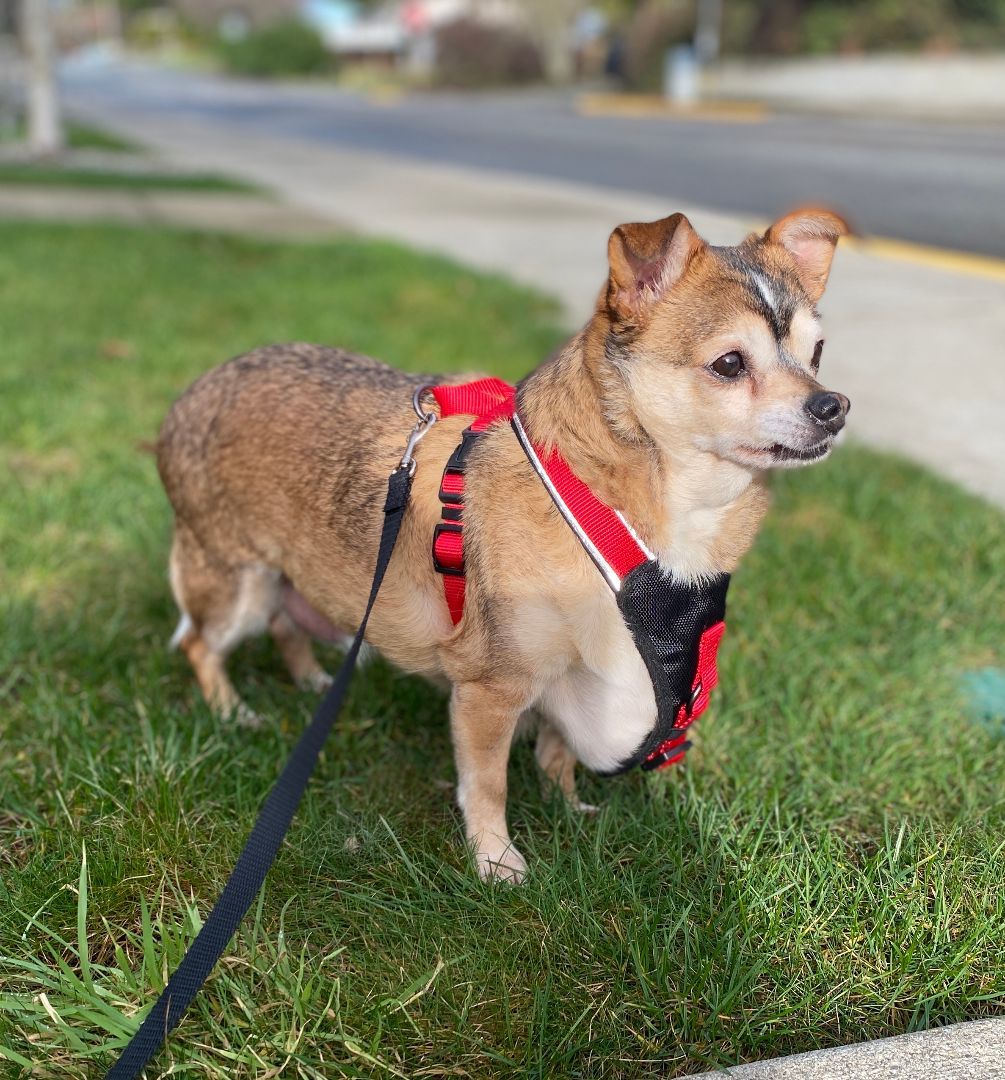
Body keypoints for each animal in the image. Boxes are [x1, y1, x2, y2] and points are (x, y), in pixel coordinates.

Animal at [157, 206, 850, 881]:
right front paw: (496, 862)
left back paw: (308, 680)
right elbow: (488, 784)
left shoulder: (578, 673)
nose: (834, 406)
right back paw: (231, 711)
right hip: (236, 583)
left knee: (286, 624)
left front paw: (566, 806)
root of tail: (194, 392)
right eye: (729, 364)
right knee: (201, 642)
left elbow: (557, 750)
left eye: (816, 353)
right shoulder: (490, 689)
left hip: (291, 578)